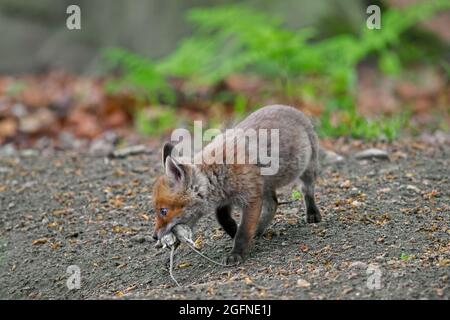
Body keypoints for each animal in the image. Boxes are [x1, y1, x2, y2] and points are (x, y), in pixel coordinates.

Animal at [153, 105, 322, 264]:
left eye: (163, 211)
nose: (154, 237)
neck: (220, 171)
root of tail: (288, 107)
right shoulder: (227, 199)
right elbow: (222, 218)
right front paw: (234, 231)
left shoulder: (251, 198)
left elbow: (244, 231)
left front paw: (237, 253)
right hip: (265, 186)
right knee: (273, 204)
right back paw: (259, 230)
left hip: (307, 169)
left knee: (306, 190)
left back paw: (312, 213)